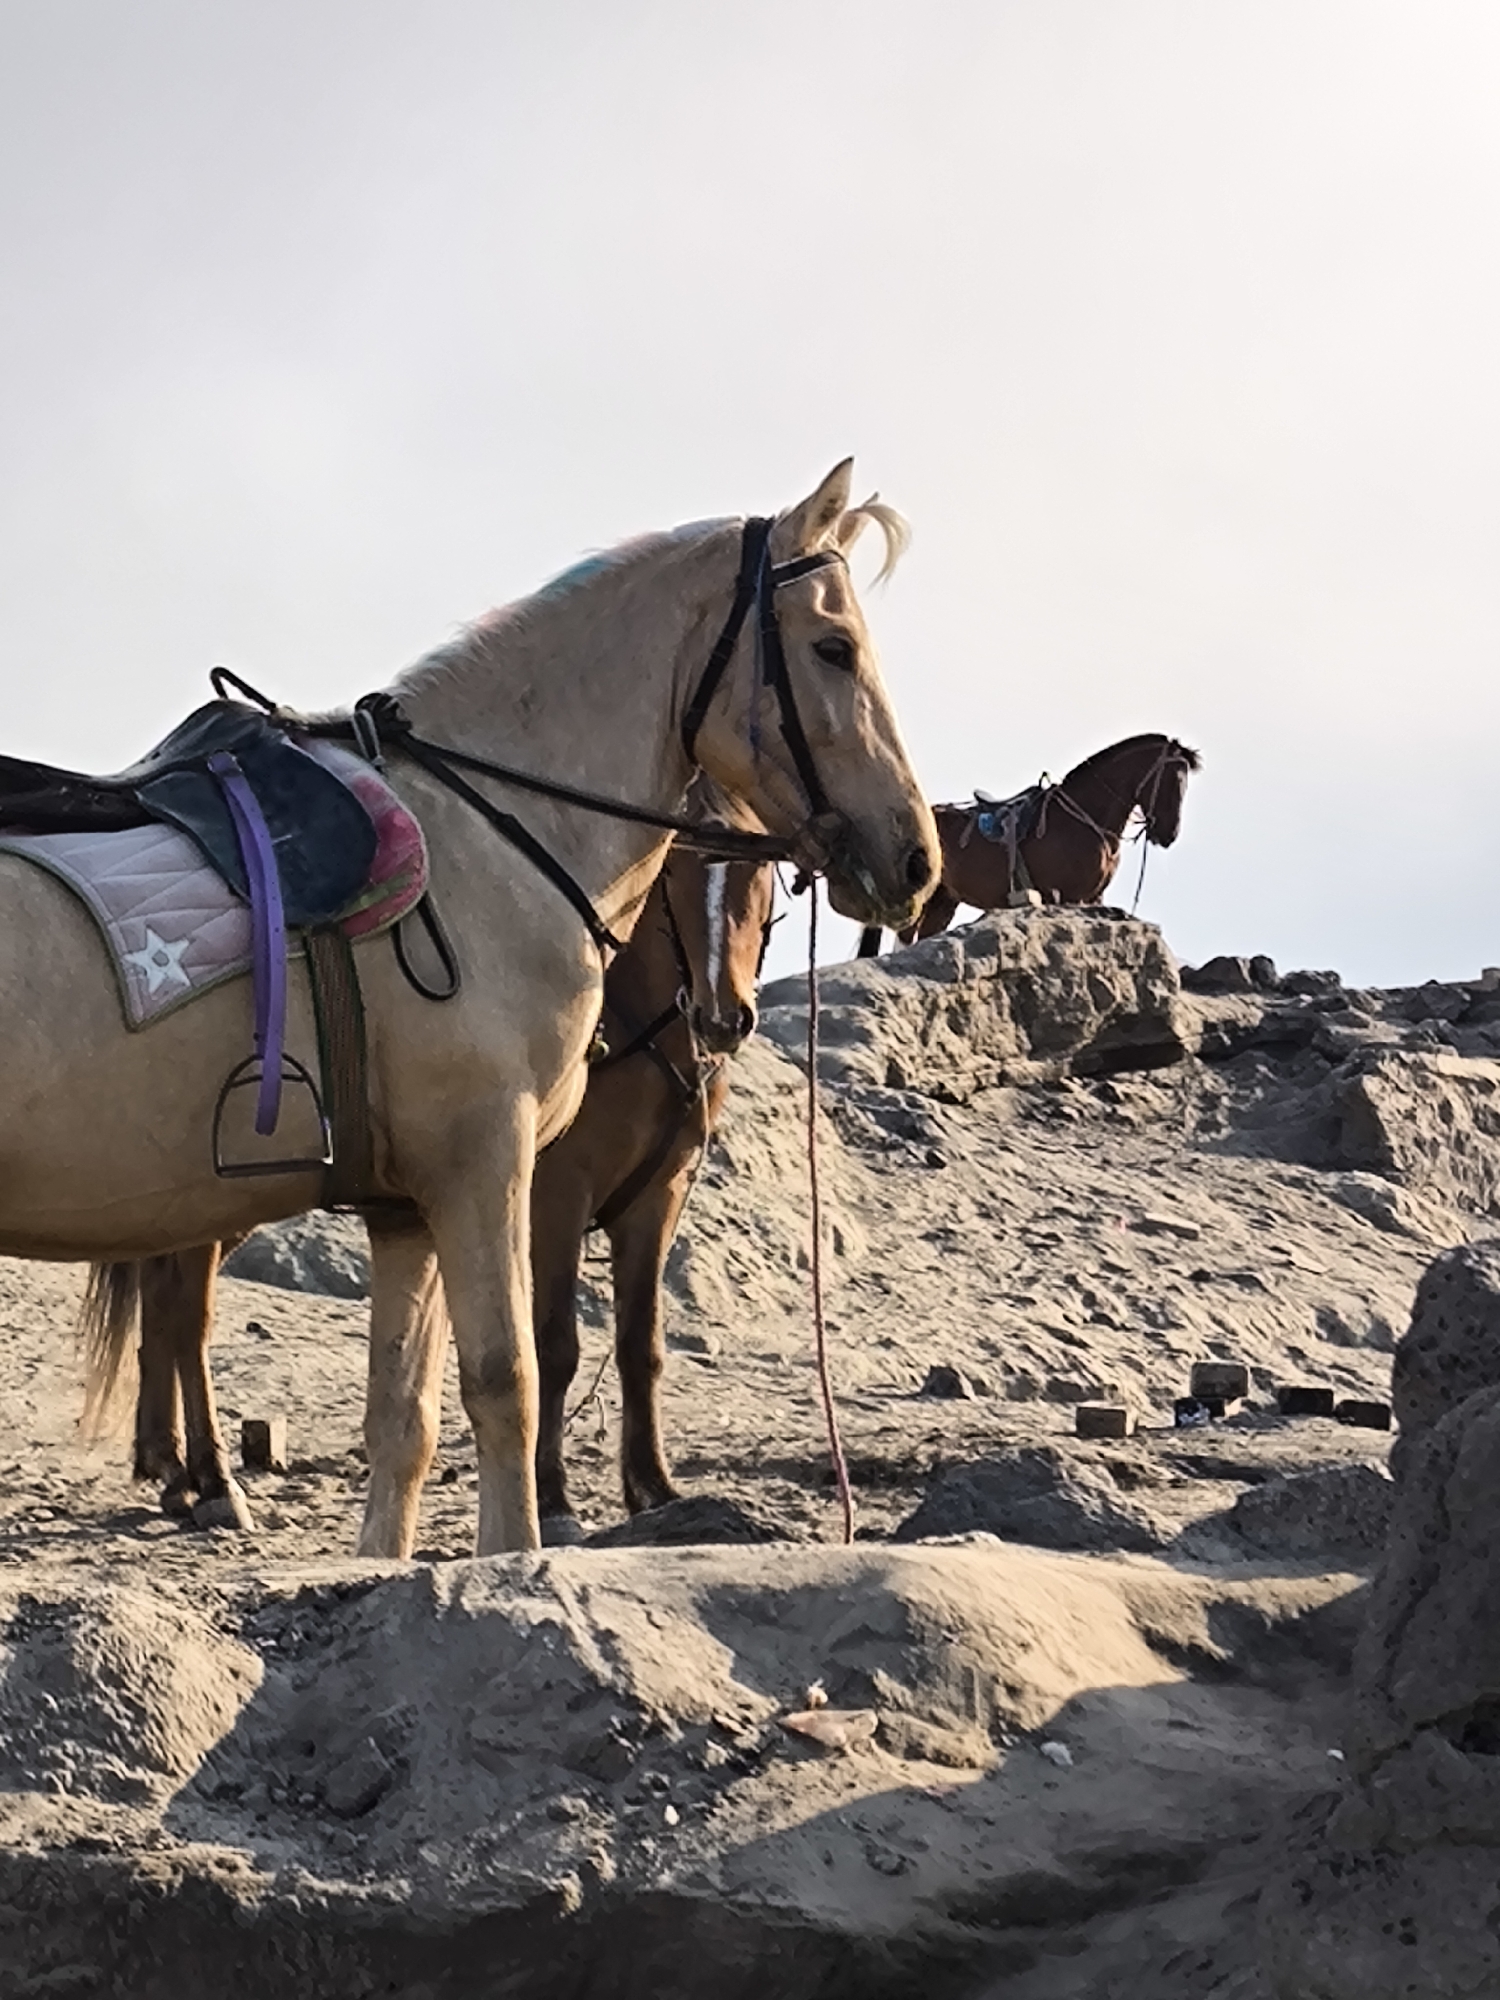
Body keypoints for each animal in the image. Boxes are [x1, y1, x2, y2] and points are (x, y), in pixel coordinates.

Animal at [82, 836, 775, 1540]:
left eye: (758, 870)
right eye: (677, 872)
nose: (723, 1018)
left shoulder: (656, 1201)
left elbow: (640, 1345)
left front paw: (652, 1486)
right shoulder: (551, 1196)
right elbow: (555, 1345)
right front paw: (552, 1500)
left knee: (161, 1296)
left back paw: (168, 1464)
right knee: (185, 1315)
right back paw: (210, 1478)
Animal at [857, 732, 1198, 954]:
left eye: (1185, 783)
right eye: (1172, 780)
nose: (1168, 834)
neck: (1082, 818)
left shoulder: (1094, 898)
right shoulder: (1068, 897)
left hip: (944, 900)